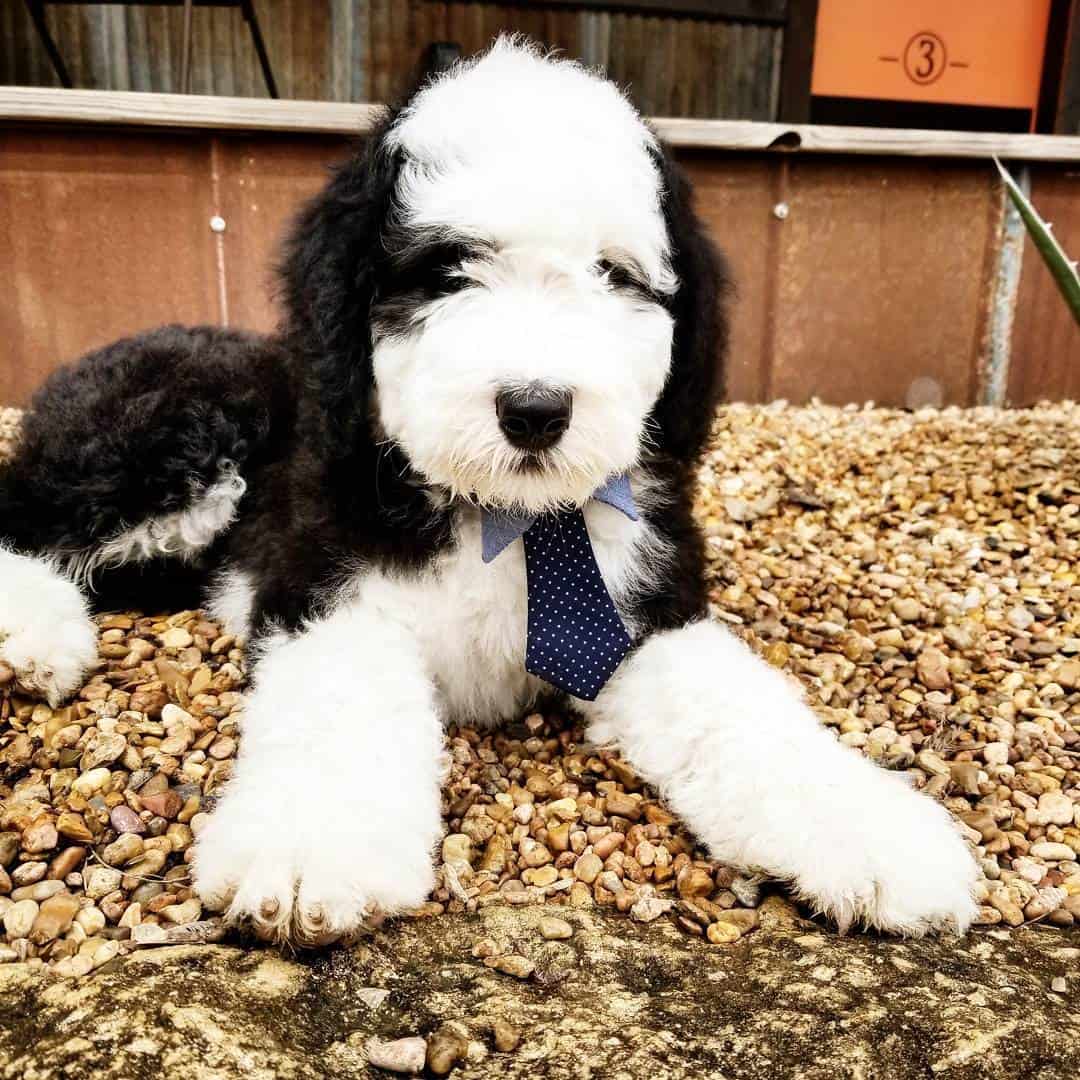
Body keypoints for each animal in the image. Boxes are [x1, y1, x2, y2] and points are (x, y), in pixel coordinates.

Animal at [0, 38, 980, 941]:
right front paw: (311, 846)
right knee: (26, 514)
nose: (536, 409)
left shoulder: (644, 612)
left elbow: (739, 710)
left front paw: (874, 831)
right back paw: (33, 640)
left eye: (615, 274)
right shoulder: (324, 583)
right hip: (176, 439)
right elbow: (341, 701)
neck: (509, 516)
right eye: (447, 271)